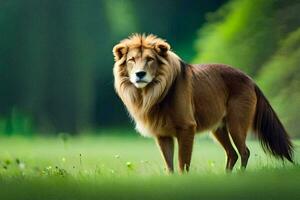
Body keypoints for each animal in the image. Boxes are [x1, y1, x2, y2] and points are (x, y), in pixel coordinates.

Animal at [112, 33, 292, 173]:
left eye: (149, 59)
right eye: (132, 60)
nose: (140, 74)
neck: (150, 92)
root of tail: (250, 79)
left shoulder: (187, 127)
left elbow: (183, 162)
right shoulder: (162, 134)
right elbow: (169, 165)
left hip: (236, 123)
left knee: (244, 151)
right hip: (218, 128)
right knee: (232, 153)